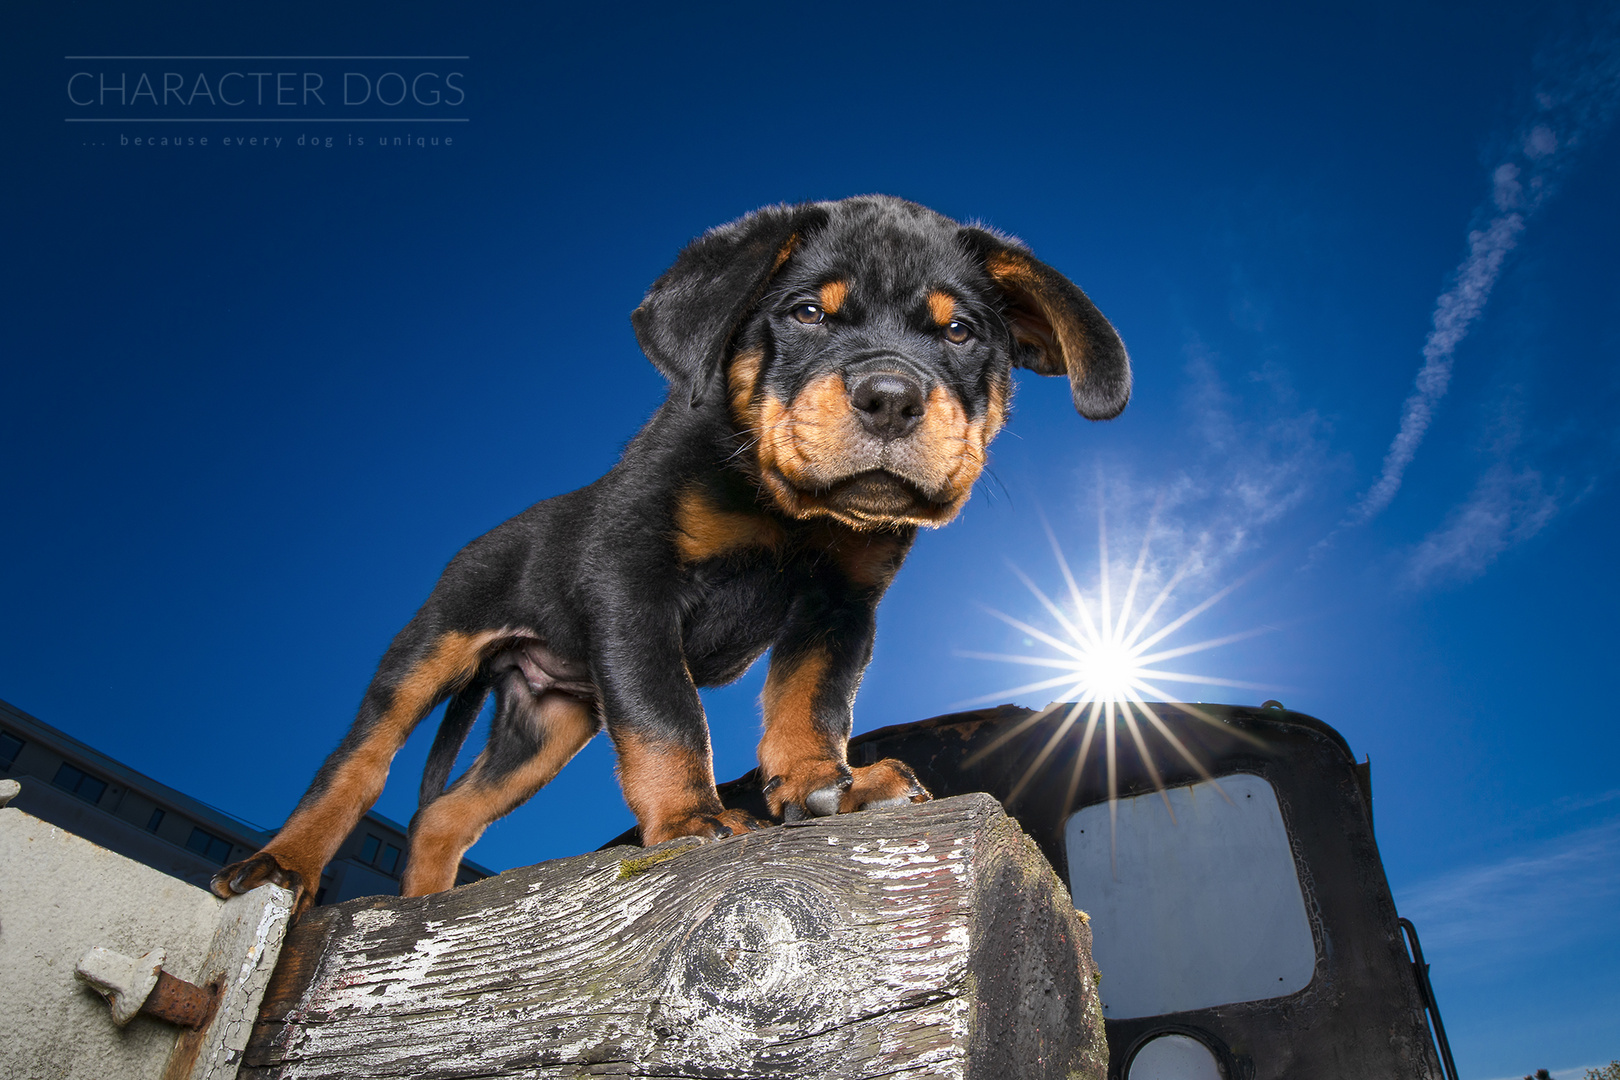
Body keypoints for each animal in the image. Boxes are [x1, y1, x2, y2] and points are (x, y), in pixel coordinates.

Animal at [212, 191, 1127, 913]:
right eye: (806, 313)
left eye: (962, 332)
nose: (892, 398)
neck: (790, 508)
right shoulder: (634, 583)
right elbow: (667, 716)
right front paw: (691, 819)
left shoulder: (839, 605)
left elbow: (809, 703)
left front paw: (824, 785)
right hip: (435, 642)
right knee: (356, 762)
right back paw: (280, 863)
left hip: (549, 720)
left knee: (446, 813)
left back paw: (427, 906)